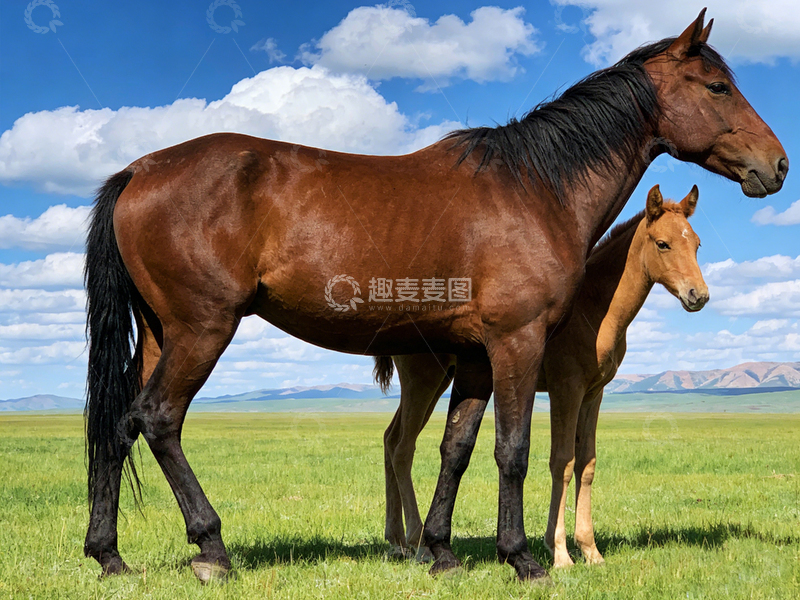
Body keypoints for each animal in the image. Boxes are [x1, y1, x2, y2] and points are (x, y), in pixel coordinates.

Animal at [377, 184, 707, 568]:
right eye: (663, 243)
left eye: (696, 243)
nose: (698, 295)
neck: (593, 307)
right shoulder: (567, 389)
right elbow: (562, 461)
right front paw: (560, 552)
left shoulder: (593, 393)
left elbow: (587, 463)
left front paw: (591, 551)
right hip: (424, 379)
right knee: (403, 447)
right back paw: (418, 544)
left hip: (437, 382)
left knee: (390, 439)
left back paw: (396, 541)